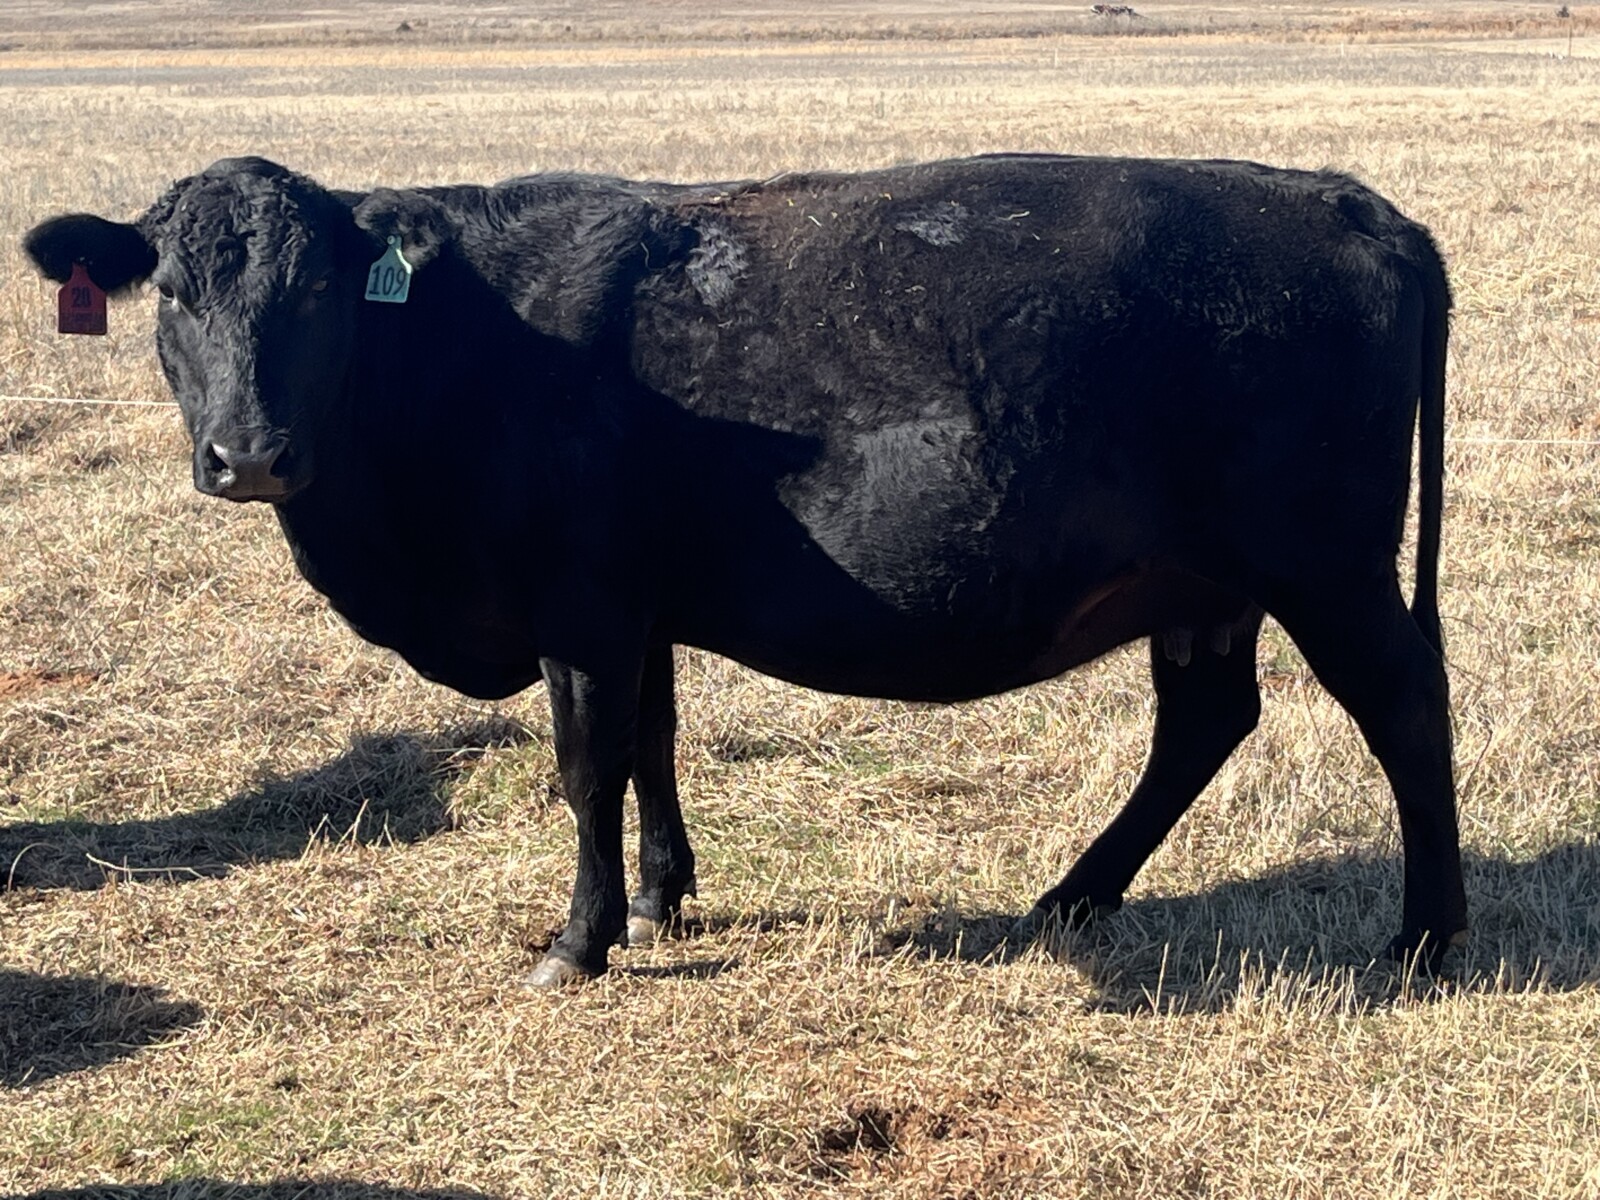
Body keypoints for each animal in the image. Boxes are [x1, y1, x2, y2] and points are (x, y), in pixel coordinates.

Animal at [23, 154, 1466, 986]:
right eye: (174, 294)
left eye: (319, 295)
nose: (249, 454)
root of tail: (1348, 201)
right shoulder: (635, 608)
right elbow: (653, 743)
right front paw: (664, 900)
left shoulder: (580, 606)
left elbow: (585, 765)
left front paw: (580, 942)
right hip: (1204, 586)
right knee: (1204, 723)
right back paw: (1071, 896)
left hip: (1328, 566)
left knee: (1403, 707)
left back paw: (1425, 936)